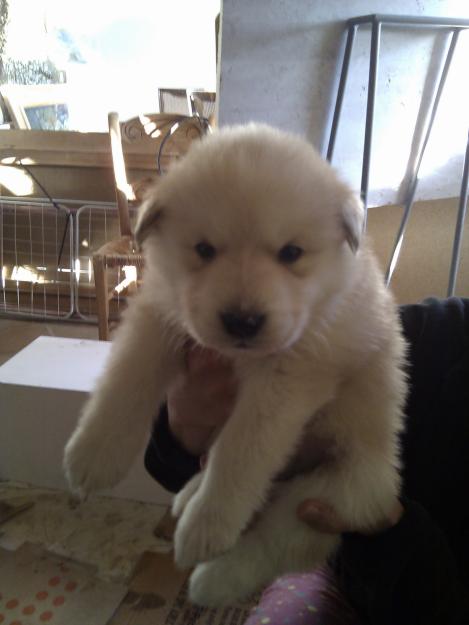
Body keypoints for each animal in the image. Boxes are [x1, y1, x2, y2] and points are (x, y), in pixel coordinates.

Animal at [62, 122, 406, 604]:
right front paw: (92, 455)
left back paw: (211, 575)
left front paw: (207, 525)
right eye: (204, 249)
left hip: (329, 494)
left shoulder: (289, 377)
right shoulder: (160, 316)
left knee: (272, 539)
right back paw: (188, 495)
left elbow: (241, 449)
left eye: (291, 253)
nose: (242, 321)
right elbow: (126, 380)